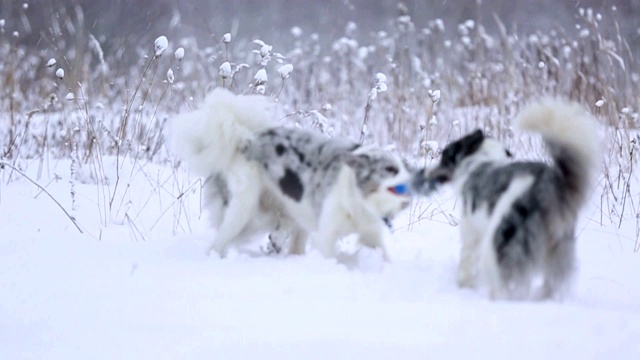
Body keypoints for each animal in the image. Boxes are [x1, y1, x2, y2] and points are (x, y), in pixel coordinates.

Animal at [170, 88, 410, 260]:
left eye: (405, 167)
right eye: (390, 169)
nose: (414, 182)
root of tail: (246, 138)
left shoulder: (371, 234)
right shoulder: (327, 234)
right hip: (243, 209)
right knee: (219, 242)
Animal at [410, 97, 600, 298]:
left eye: (444, 156)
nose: (424, 172)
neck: (481, 161)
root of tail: (551, 183)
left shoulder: (471, 232)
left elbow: (467, 262)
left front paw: (464, 285)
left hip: (502, 241)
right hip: (556, 249)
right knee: (550, 285)